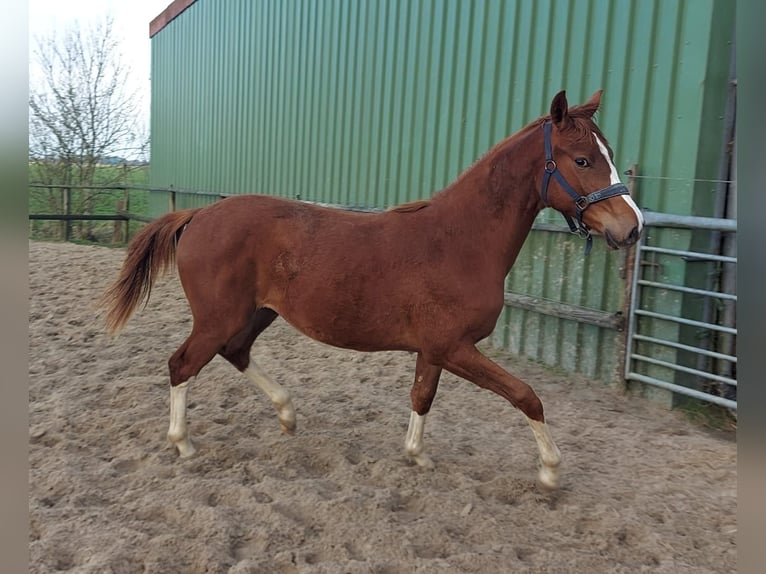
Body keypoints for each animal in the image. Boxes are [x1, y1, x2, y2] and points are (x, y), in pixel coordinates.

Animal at [100, 90, 640, 490]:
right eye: (582, 159)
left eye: (611, 156)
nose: (632, 227)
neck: (460, 241)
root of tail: (198, 215)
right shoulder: (455, 347)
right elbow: (527, 396)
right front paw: (550, 472)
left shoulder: (434, 350)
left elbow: (422, 396)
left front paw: (417, 456)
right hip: (219, 317)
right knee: (182, 364)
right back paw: (183, 442)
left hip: (257, 313)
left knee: (236, 352)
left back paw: (288, 415)